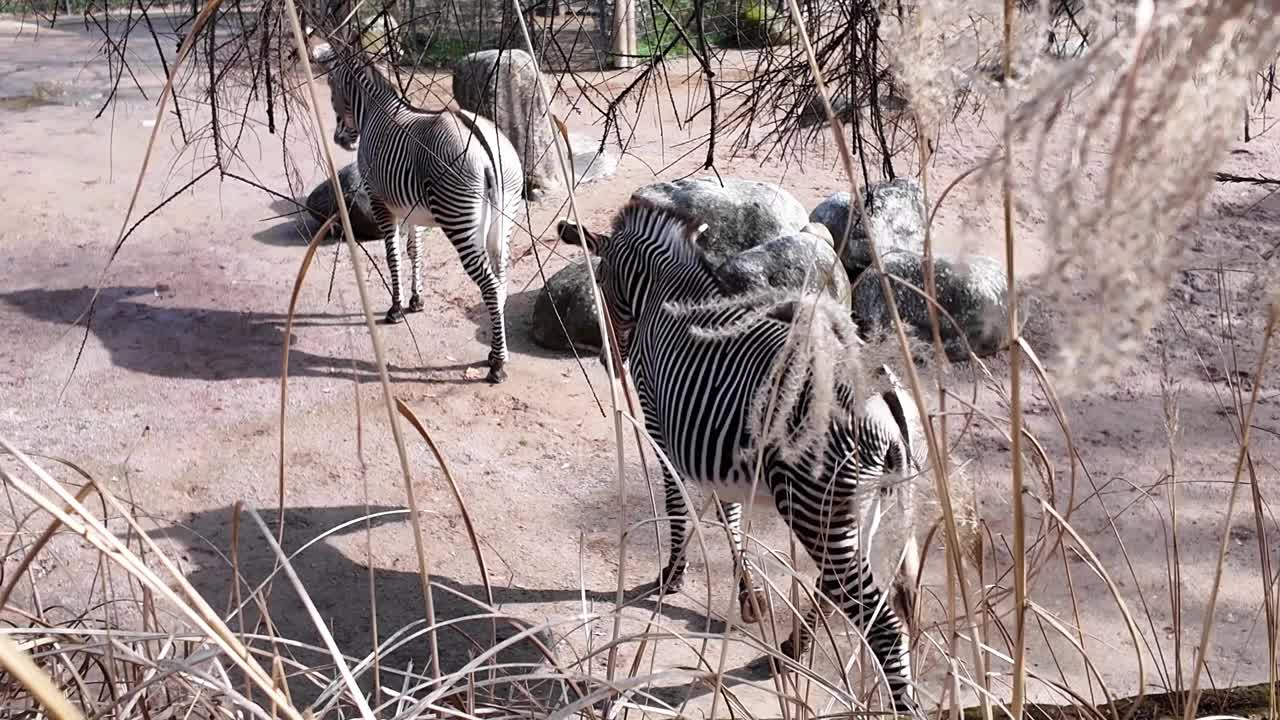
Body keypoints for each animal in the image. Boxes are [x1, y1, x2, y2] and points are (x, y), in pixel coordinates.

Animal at [307, 33, 522, 381]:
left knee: (489, 285)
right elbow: (414, 250)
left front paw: (395, 308)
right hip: (503, 220)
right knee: (501, 282)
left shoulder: (380, 202)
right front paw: (416, 300)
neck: (375, 113)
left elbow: (392, 254)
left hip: (459, 219)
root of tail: (484, 145)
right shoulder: (412, 209)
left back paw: (498, 365)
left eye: (330, 86)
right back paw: (495, 351)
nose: (341, 140)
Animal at [565, 197, 926, 712]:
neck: (668, 297)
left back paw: (894, 701)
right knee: (840, 590)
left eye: (603, 283)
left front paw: (673, 576)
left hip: (817, 504)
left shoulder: (661, 428)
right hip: (864, 505)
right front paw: (749, 597)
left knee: (882, 624)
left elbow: (679, 506)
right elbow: (729, 515)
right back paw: (791, 649)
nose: (609, 361)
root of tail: (881, 394)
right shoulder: (724, 449)